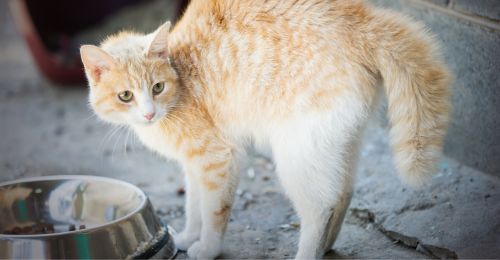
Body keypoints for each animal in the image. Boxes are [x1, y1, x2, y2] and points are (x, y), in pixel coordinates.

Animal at [80, 0, 452, 258]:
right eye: (126, 96)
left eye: (157, 87)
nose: (148, 114)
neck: (181, 80)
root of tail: (361, 19)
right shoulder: (194, 165)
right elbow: (194, 207)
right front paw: (187, 236)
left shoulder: (217, 159)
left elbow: (213, 211)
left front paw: (207, 248)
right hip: (337, 140)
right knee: (343, 192)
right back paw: (326, 246)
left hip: (296, 150)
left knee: (320, 206)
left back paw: (308, 254)